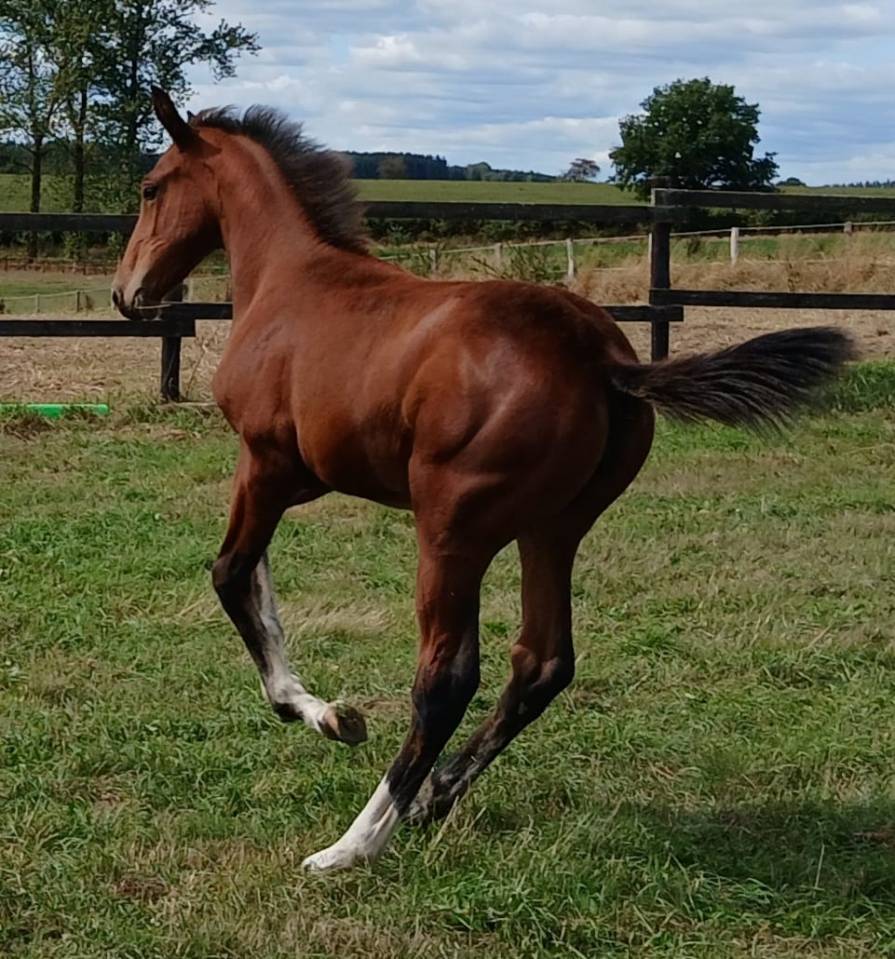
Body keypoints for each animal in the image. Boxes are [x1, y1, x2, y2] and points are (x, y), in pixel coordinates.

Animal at [112, 88, 854, 872]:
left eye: (151, 188)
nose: (127, 292)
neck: (290, 285)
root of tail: (601, 359)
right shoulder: (293, 476)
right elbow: (258, 581)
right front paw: (331, 712)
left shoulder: (267, 461)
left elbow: (231, 574)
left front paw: (321, 714)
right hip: (553, 528)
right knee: (542, 661)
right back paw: (433, 796)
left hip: (452, 528)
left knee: (445, 678)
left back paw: (356, 841)